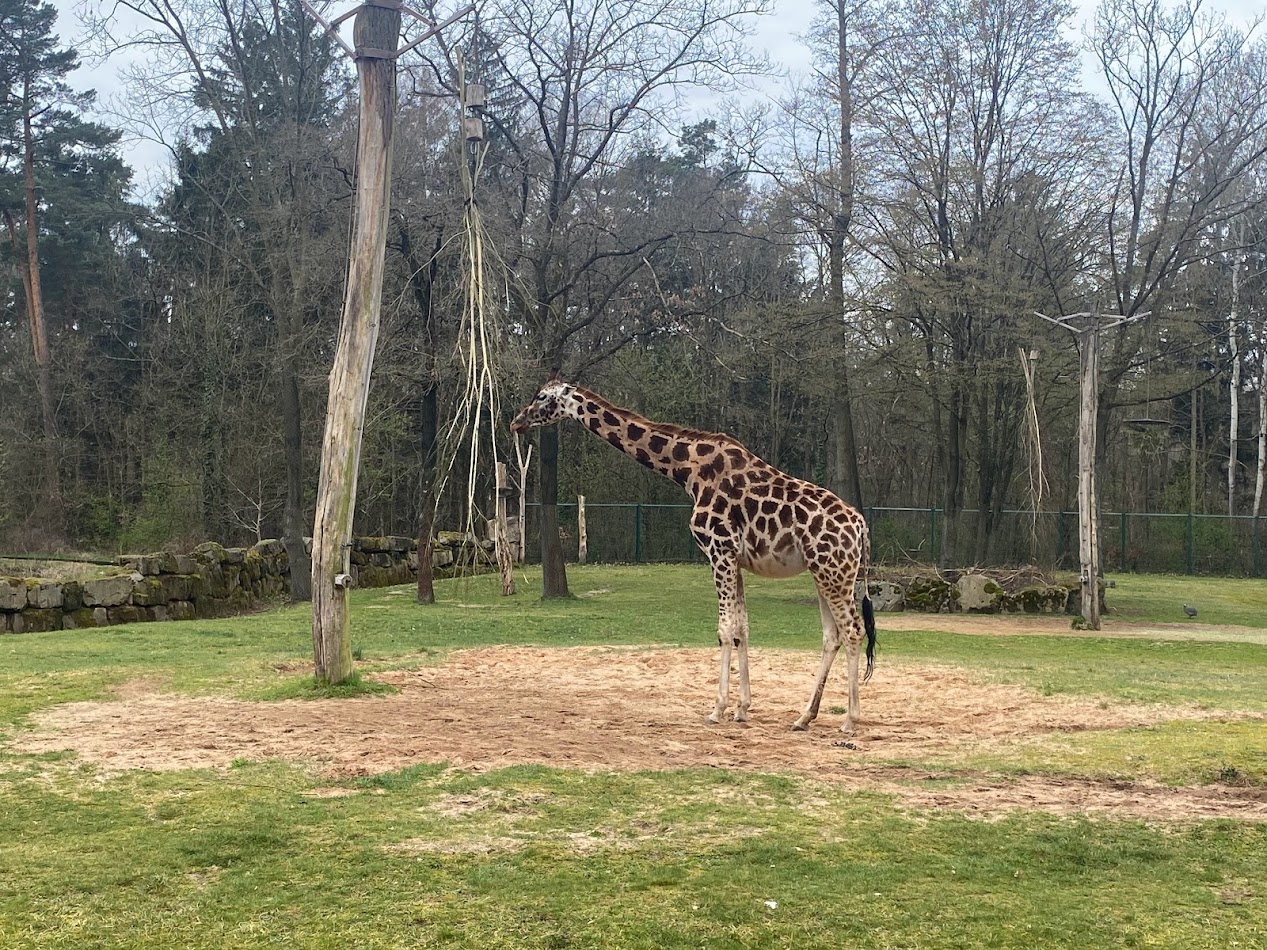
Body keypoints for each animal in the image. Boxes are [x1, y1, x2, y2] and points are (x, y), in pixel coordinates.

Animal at [511, 377, 877, 733]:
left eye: (542, 396)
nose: (517, 421)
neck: (687, 469)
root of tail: (861, 528)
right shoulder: (734, 559)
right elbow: (742, 628)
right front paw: (742, 709)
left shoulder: (719, 551)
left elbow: (725, 629)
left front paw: (717, 709)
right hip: (823, 574)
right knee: (832, 636)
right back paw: (804, 717)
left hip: (834, 573)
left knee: (853, 631)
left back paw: (849, 721)